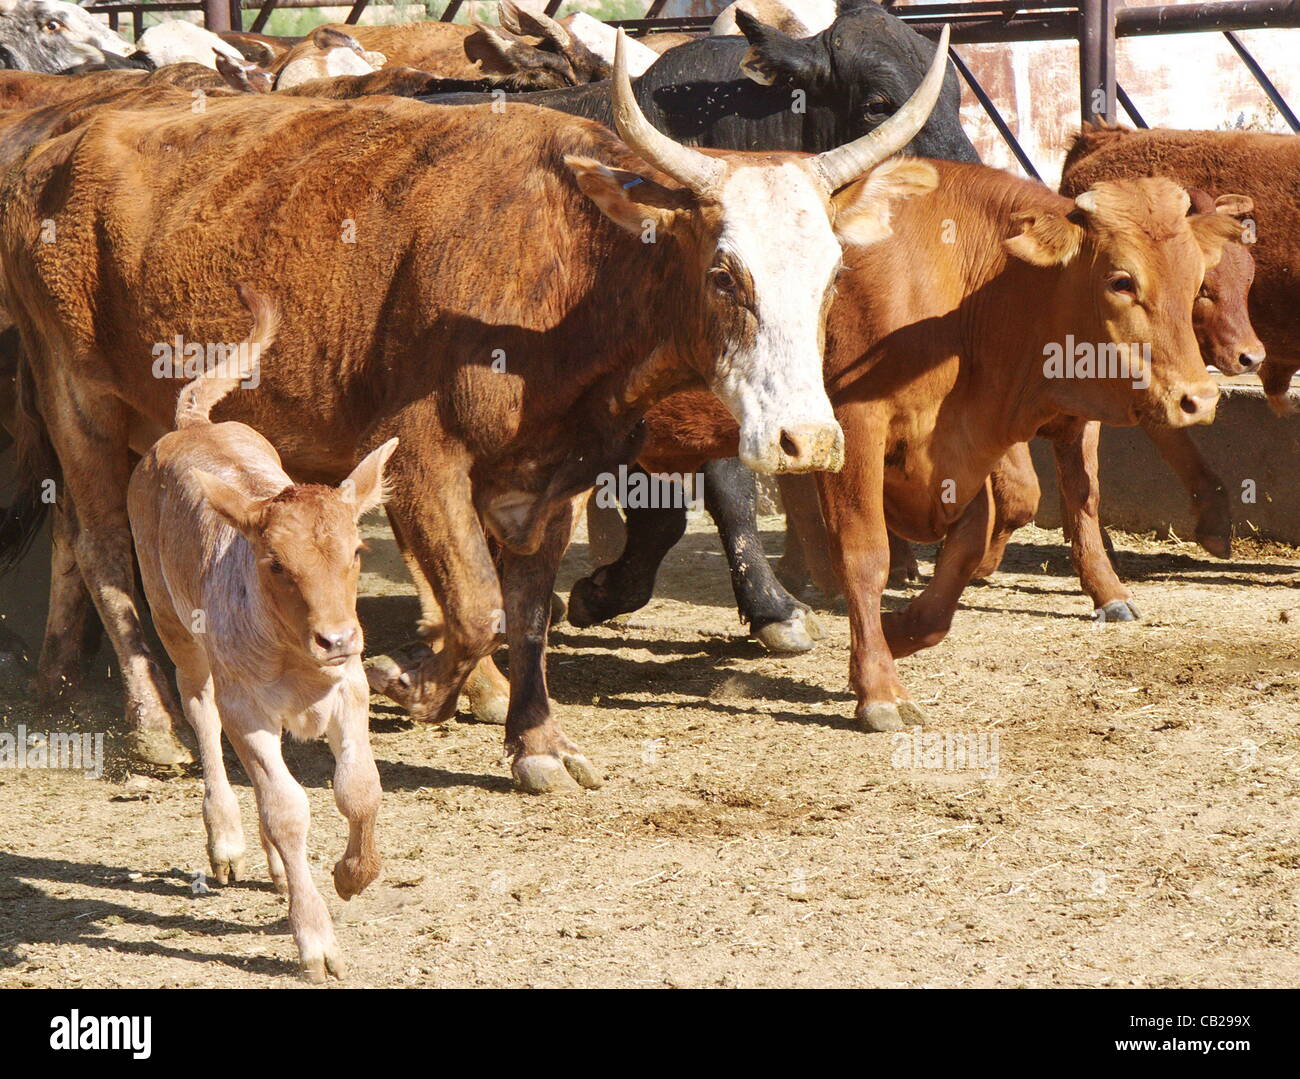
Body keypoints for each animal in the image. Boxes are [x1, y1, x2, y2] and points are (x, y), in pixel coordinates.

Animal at [0, 33, 946, 790]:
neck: (560, 271)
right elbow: (478, 606)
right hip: (78, 404)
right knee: (105, 553)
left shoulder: (550, 480)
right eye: (724, 273)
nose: (805, 440)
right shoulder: (422, 459)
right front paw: (410, 681)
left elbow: (525, 612)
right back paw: (153, 724)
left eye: (832, 274)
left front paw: (536, 742)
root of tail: (53, 157)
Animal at [130, 291, 400, 982]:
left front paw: (353, 873)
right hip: (177, 631)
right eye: (276, 563)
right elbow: (288, 809)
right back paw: (226, 840)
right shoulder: (248, 705)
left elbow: (359, 789)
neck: (296, 658)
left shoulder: (350, 690)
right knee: (201, 715)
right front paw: (316, 943)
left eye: (358, 550)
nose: (337, 638)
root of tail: (193, 425)